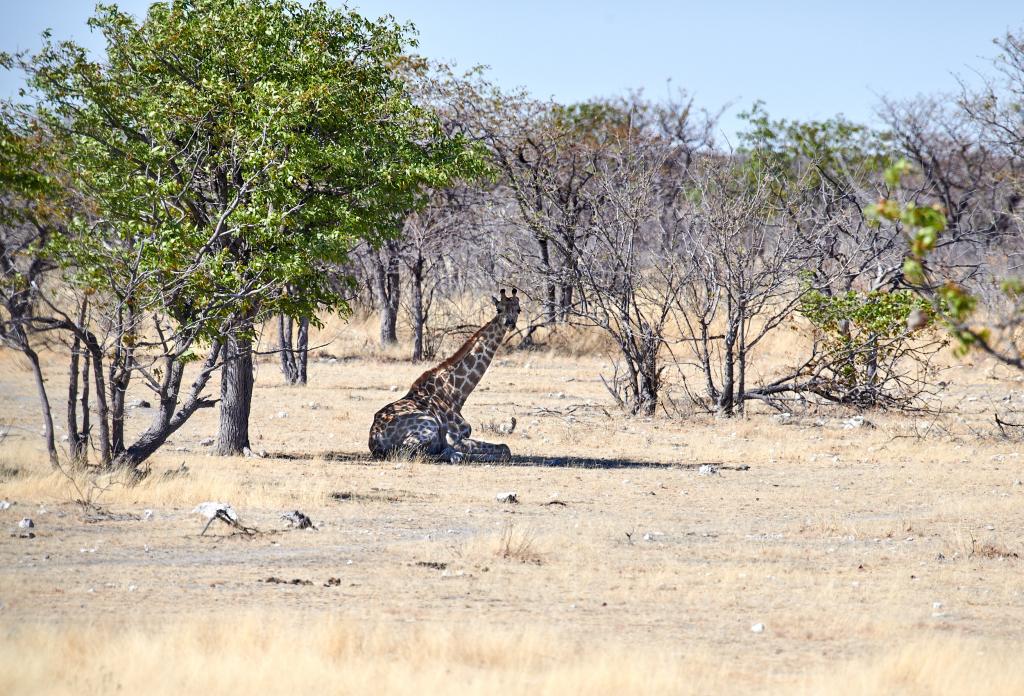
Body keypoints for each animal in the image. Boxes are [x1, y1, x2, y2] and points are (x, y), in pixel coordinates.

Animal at [368, 288, 520, 462]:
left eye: (518, 310)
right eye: (499, 309)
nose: (509, 323)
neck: (453, 393)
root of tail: (375, 440)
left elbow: (504, 448)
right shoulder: (454, 437)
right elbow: (505, 449)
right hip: (428, 427)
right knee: (411, 454)